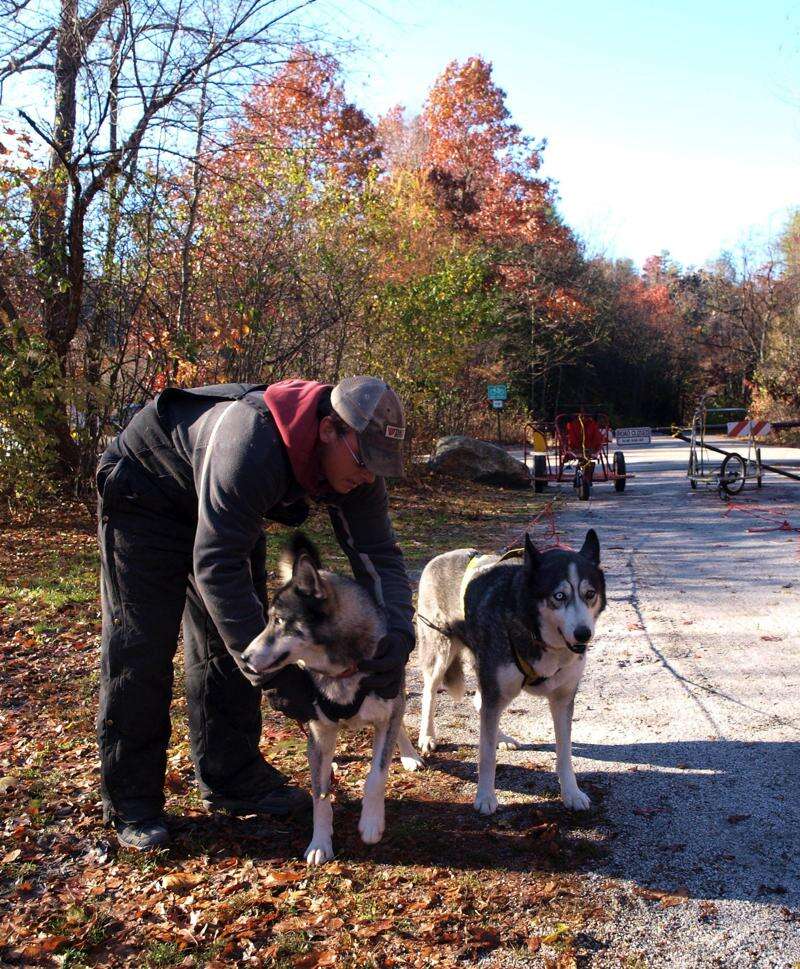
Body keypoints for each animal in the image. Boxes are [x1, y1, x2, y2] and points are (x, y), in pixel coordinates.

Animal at [241, 533, 423, 865]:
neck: (342, 671)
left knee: (399, 722)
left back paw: (408, 754)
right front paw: (320, 843)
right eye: (267, 620)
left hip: (396, 695)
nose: (244, 659)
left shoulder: (386, 713)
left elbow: (376, 776)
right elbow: (320, 796)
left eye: (280, 621)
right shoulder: (319, 734)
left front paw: (371, 822)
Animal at [415, 530, 605, 814]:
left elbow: (565, 753)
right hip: (441, 655)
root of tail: (441, 556)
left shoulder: (562, 700)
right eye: (559, 596)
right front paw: (485, 796)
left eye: (589, 593)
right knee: (430, 694)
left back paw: (500, 736)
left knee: (481, 703)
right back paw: (427, 736)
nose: (584, 633)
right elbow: (486, 755)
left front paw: (571, 793)